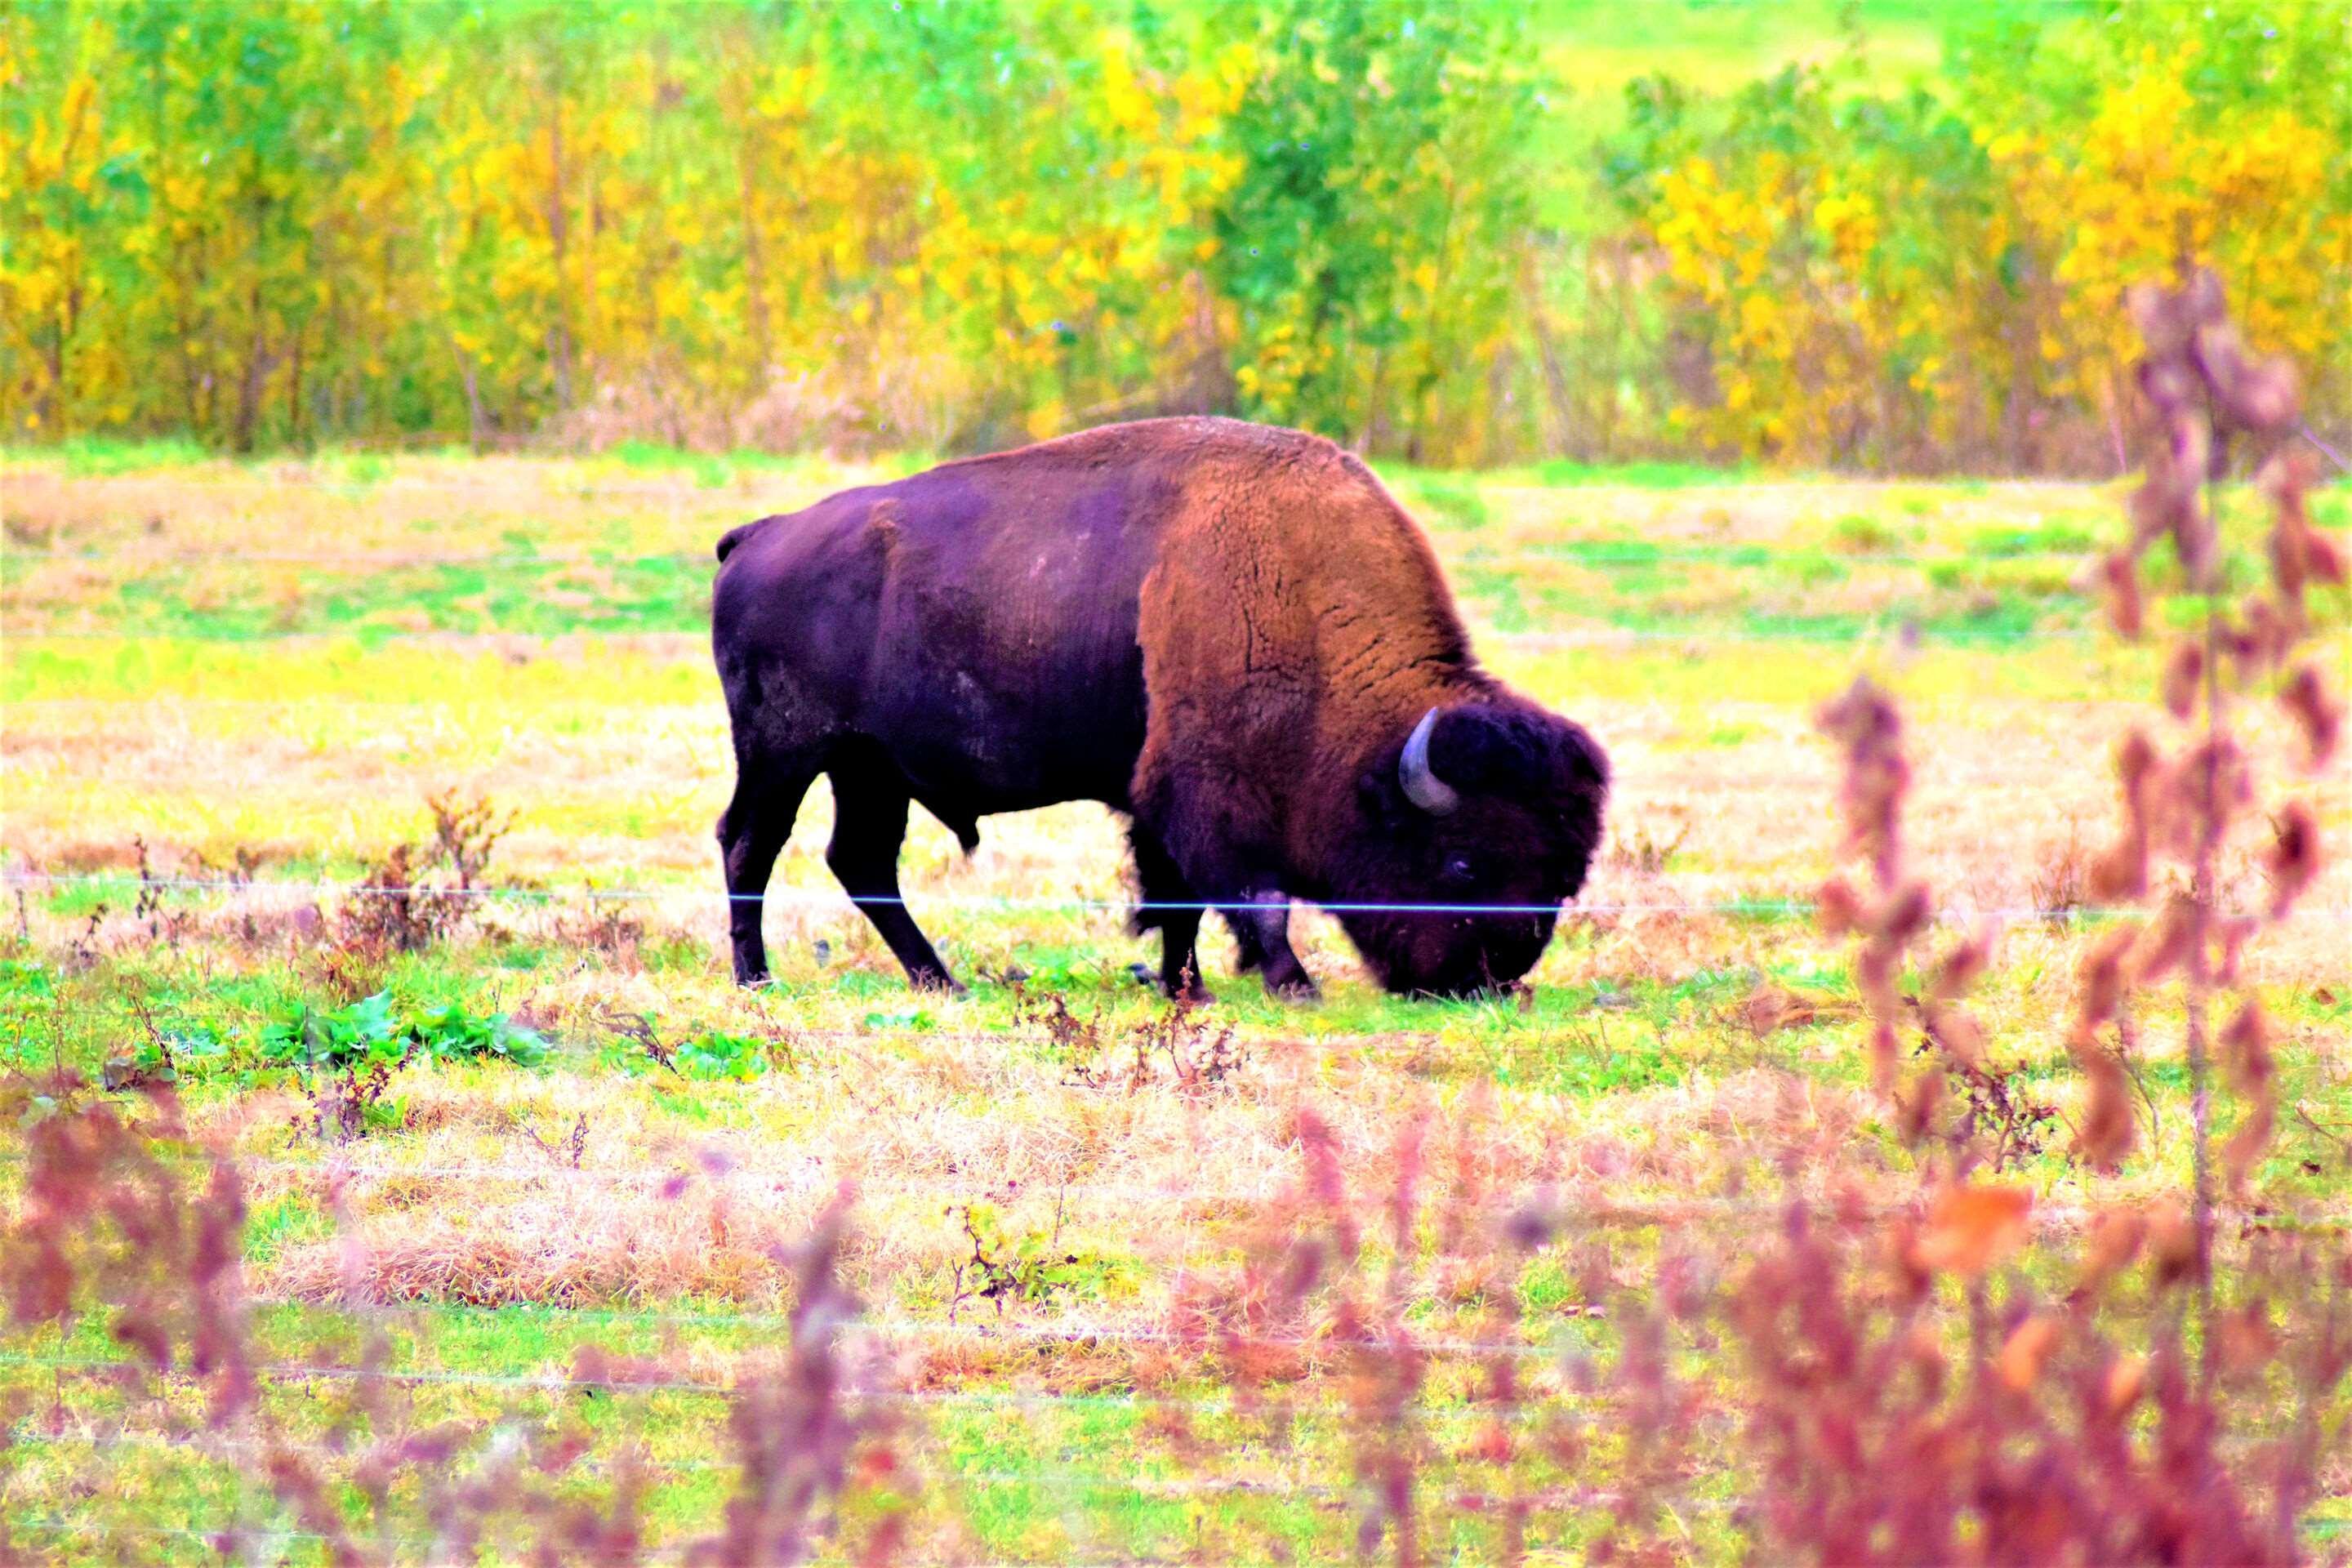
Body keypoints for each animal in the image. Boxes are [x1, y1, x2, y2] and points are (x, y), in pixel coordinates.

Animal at [706, 416, 1608, 1001]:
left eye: (1562, 880)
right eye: (1461, 864)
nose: (1485, 980)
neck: (1305, 594)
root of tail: (760, 535)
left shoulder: (1158, 797)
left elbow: (1179, 898)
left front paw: (1188, 987)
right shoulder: (1207, 794)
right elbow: (1243, 896)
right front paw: (1290, 984)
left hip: (870, 767)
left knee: (860, 861)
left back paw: (940, 981)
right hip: (785, 752)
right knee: (752, 843)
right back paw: (759, 980)